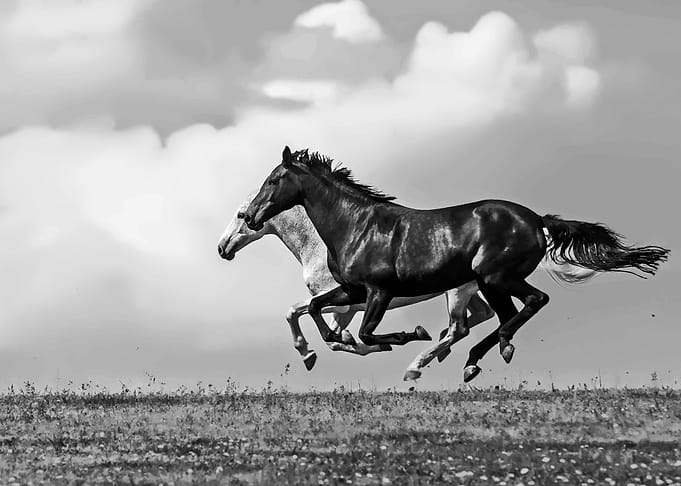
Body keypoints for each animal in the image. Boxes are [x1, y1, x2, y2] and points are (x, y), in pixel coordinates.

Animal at [218, 193, 495, 377]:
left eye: (241, 215)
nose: (222, 248)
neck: (322, 245)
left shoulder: (341, 304)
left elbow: (294, 312)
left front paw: (307, 353)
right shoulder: (346, 310)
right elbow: (332, 339)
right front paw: (371, 342)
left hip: (457, 292)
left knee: (460, 328)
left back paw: (417, 365)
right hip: (463, 291)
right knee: (482, 314)